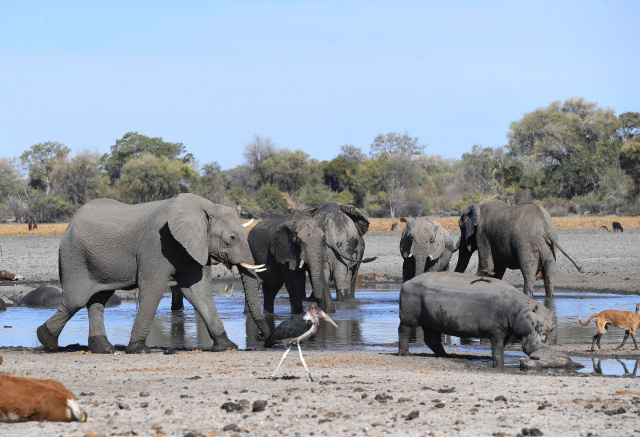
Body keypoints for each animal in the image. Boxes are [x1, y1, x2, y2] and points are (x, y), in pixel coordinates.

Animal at [37, 192, 268, 352]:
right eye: (231, 238)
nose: (260, 336)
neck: (205, 206)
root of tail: (70, 223)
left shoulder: (191, 246)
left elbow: (198, 291)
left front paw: (227, 346)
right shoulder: (157, 244)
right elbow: (153, 288)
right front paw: (139, 349)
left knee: (97, 301)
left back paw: (103, 349)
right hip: (74, 257)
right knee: (75, 301)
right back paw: (46, 340)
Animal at [400, 270, 556, 366]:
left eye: (552, 328)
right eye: (536, 323)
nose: (543, 350)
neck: (520, 310)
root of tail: (407, 282)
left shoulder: (506, 331)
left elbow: (500, 348)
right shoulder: (496, 330)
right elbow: (497, 349)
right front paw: (498, 366)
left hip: (431, 322)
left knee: (432, 339)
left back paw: (447, 356)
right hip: (409, 318)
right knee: (404, 332)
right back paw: (405, 354)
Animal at [452, 200, 584, 296]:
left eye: (459, 226)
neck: (479, 206)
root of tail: (546, 229)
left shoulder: (482, 234)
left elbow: (487, 266)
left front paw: (480, 275)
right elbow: (499, 269)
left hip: (526, 245)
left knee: (528, 275)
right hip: (550, 249)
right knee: (550, 277)